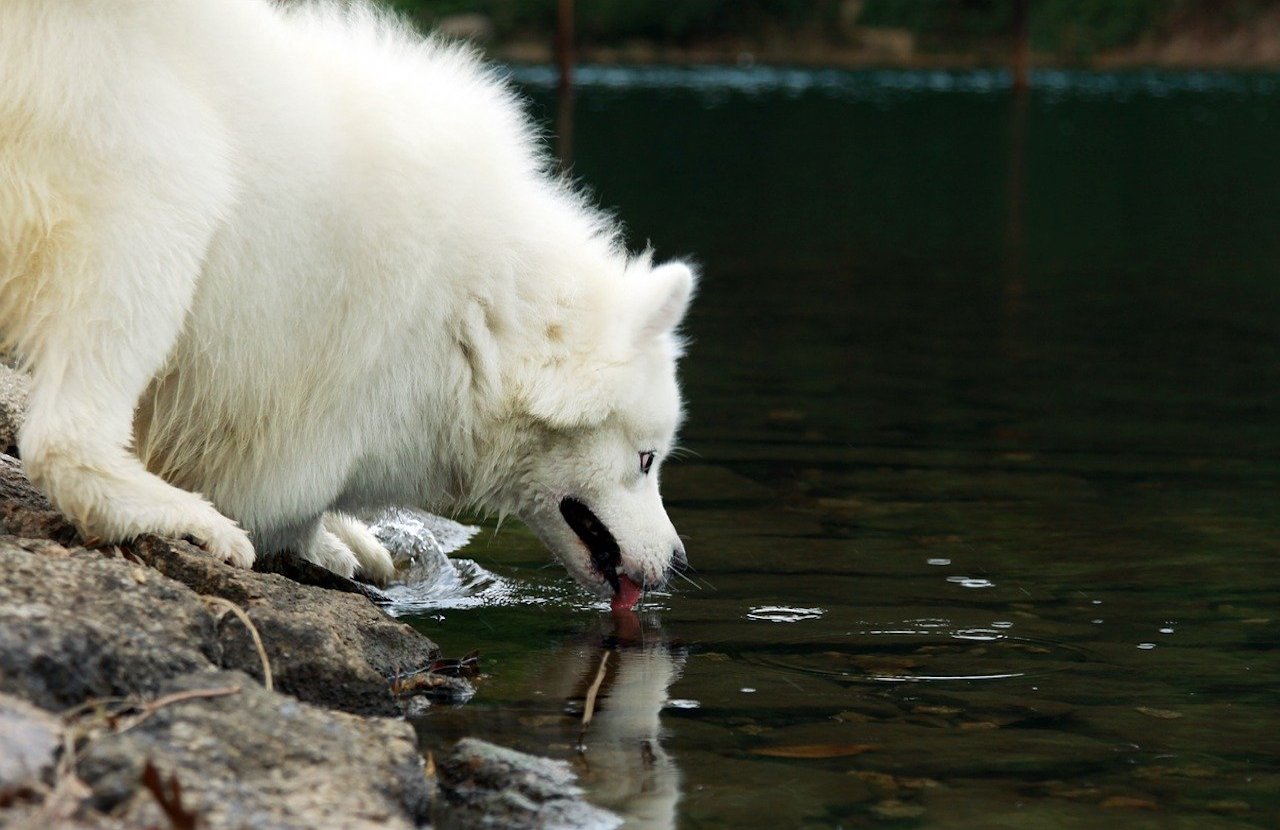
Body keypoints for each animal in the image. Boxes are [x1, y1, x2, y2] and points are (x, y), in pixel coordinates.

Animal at [0, 1, 691, 609]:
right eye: (646, 459)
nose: (681, 560)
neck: (482, 308)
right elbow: (287, 502)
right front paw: (320, 541)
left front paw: (347, 543)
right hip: (164, 198)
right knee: (61, 439)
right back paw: (185, 519)